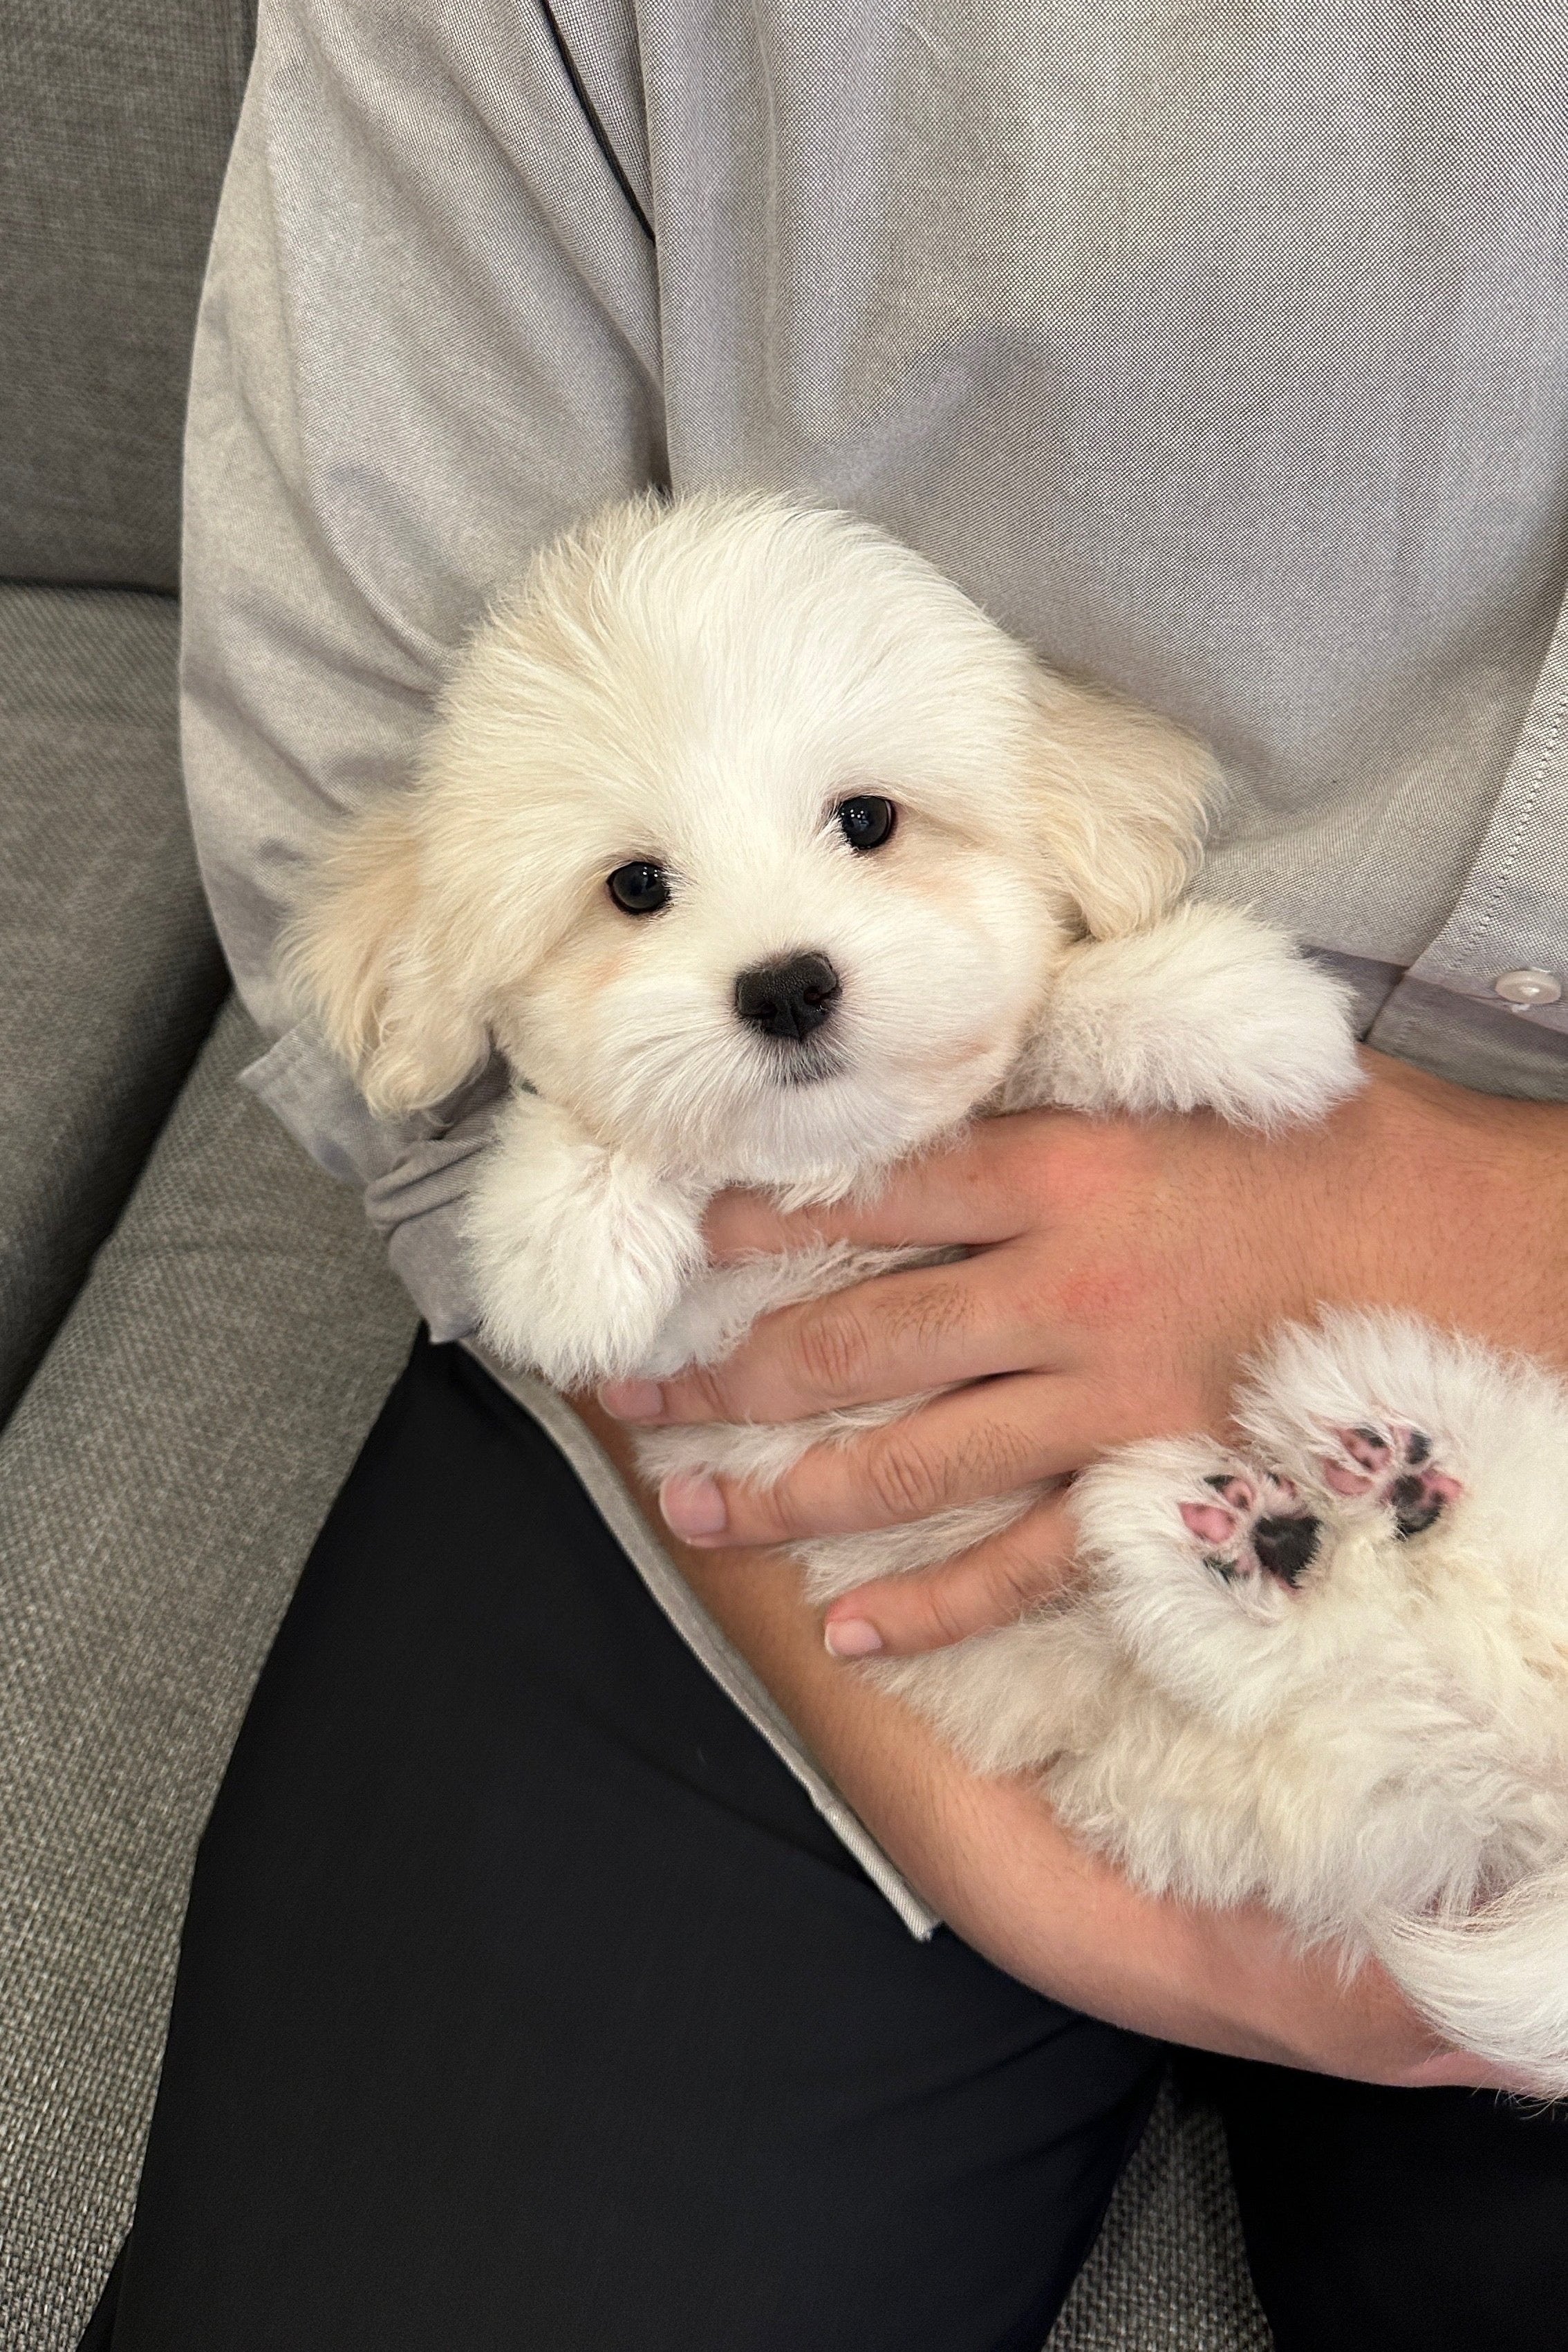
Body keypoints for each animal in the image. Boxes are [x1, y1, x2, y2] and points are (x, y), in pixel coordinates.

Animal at [288, 492, 1568, 2098]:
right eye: (633, 888)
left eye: (868, 821)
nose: (786, 984)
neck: (848, 1172)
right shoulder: (719, 1352)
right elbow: (619, 1182)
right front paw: (574, 1231)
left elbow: (1042, 1025)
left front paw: (1223, 1009)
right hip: (1240, 1777)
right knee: (1372, 1695)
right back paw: (1280, 1526)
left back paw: (1364, 1480)